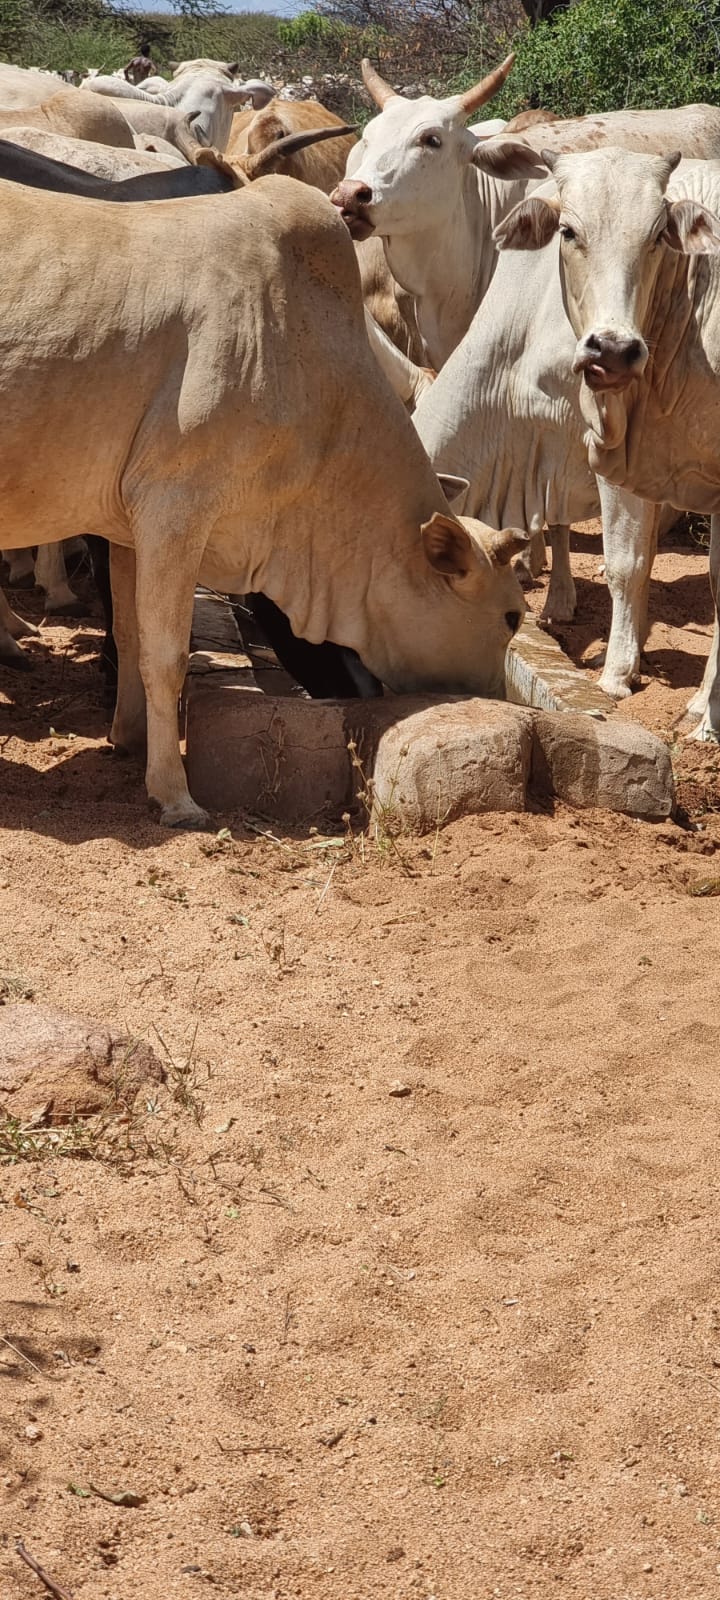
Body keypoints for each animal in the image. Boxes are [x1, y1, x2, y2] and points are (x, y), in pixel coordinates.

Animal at [0, 176, 528, 826]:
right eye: (512, 616)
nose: (497, 698)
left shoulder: (127, 529)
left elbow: (128, 635)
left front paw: (129, 740)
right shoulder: (175, 509)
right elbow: (165, 656)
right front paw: (175, 795)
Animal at [495, 146, 720, 738]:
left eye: (658, 234)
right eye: (568, 231)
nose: (614, 350)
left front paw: (707, 721)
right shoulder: (628, 467)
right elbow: (628, 565)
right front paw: (622, 675)